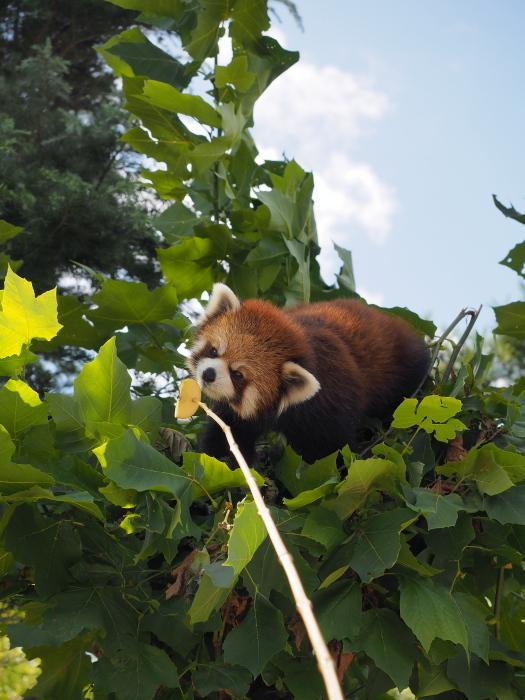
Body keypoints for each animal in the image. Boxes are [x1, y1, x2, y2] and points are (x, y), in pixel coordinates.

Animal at [188, 284, 430, 464]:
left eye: (238, 374)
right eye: (214, 351)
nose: (208, 374)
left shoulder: (326, 410)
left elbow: (331, 454)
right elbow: (229, 436)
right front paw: (223, 463)